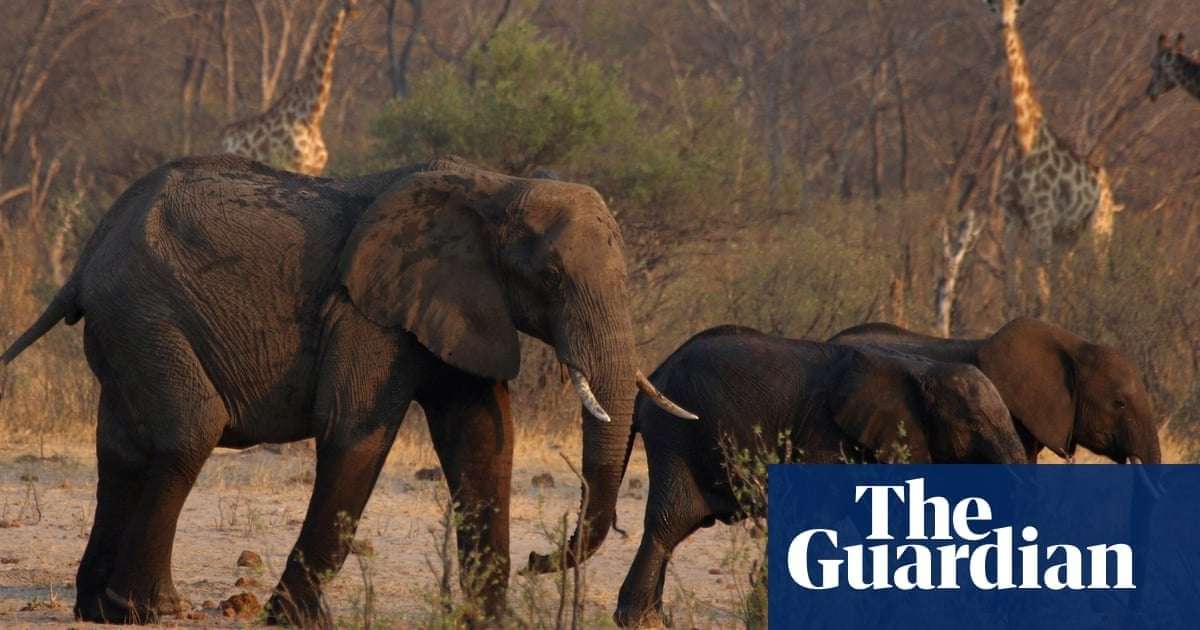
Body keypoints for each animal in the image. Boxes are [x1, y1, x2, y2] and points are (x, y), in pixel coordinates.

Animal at [0, 154, 694, 625]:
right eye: (549, 276)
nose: (537, 560)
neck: (495, 186)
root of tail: (86, 257)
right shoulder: (369, 312)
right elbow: (357, 433)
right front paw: (295, 622)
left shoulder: (457, 305)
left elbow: (484, 442)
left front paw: (488, 622)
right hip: (145, 313)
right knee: (188, 432)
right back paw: (150, 610)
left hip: (125, 325)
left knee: (119, 447)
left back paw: (97, 609)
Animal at [608, 325, 1028, 627]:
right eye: (973, 424)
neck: (920, 369)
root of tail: (651, 377)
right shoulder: (824, 435)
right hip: (675, 434)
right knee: (669, 523)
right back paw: (641, 621)